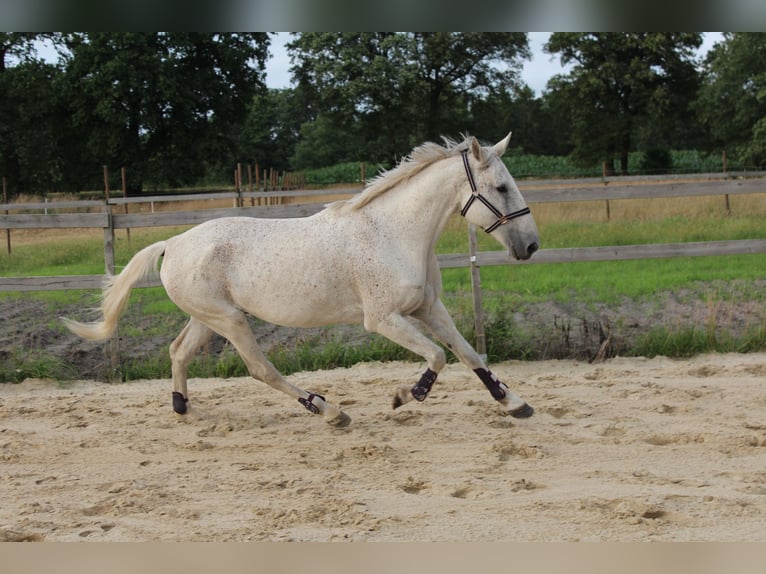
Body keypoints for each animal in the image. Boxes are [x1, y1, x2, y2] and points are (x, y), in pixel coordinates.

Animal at [63, 133, 540, 428]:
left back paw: (184, 410)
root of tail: (173, 243)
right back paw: (328, 411)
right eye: (500, 188)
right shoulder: (384, 319)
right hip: (230, 320)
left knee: (178, 352)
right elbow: (438, 357)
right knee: (260, 369)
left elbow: (468, 352)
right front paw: (405, 396)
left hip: (209, 317)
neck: (393, 233)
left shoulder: (428, 308)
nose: (531, 246)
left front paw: (514, 403)